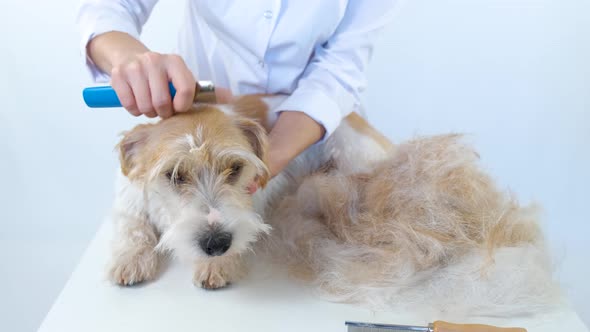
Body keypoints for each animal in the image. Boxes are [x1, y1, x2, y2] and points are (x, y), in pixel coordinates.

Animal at [110, 95, 560, 316]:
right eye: (174, 175)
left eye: (235, 168)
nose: (217, 243)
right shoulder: (129, 200)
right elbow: (131, 225)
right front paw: (129, 259)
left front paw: (218, 265)